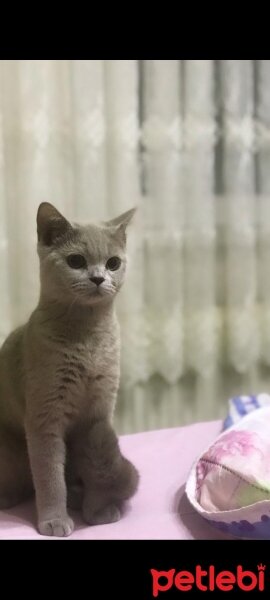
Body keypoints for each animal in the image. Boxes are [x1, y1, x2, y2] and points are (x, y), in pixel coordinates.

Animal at [0, 203, 139, 540]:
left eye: (113, 263)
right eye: (76, 261)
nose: (99, 278)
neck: (88, 337)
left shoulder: (97, 416)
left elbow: (96, 464)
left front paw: (98, 511)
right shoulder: (44, 418)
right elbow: (49, 476)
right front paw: (54, 519)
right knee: (23, 481)